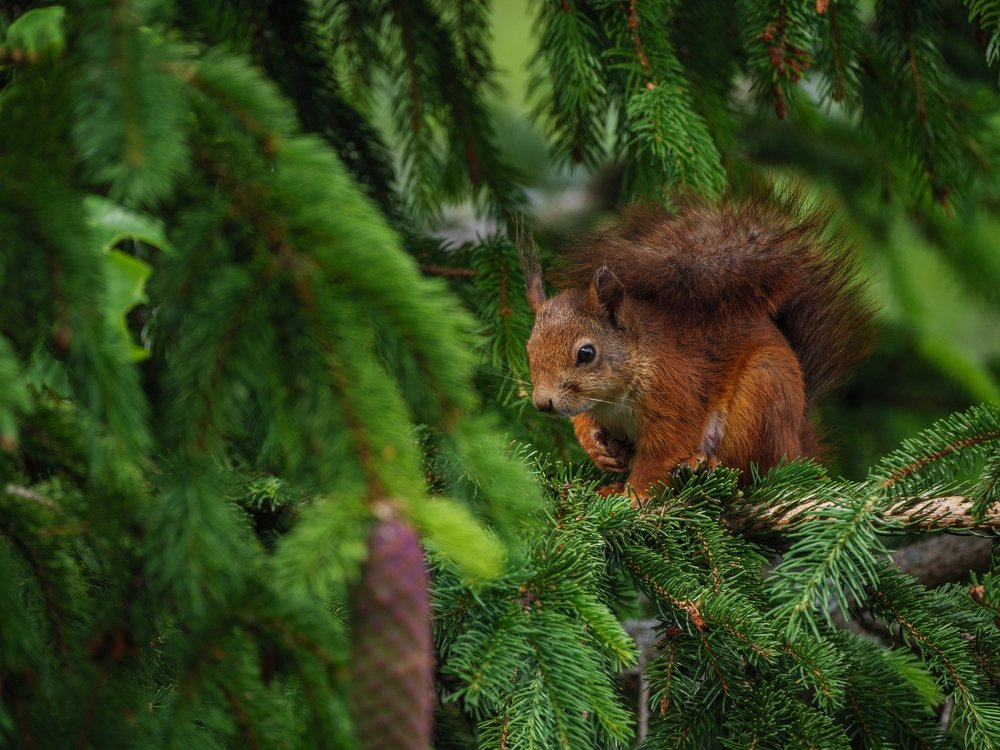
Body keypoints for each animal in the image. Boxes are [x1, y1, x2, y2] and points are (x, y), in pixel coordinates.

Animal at [519, 190, 874, 501]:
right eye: (529, 349)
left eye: (586, 353)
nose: (542, 403)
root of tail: (798, 442)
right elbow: (585, 424)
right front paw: (596, 448)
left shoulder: (675, 395)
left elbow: (661, 455)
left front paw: (634, 499)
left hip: (762, 397)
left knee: (747, 469)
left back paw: (701, 463)